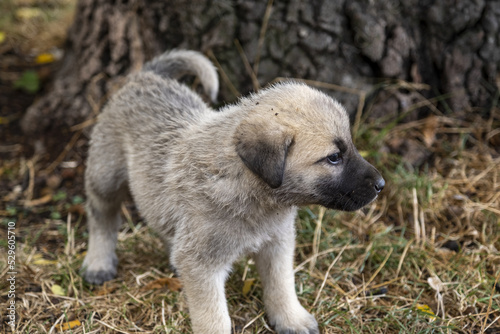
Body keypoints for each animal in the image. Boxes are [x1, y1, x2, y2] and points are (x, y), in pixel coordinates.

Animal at [82, 49, 384, 334]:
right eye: (333, 158)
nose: (381, 184)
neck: (247, 188)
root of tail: (147, 76)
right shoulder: (203, 265)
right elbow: (214, 317)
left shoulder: (278, 243)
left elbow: (281, 284)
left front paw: (291, 318)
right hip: (105, 175)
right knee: (101, 216)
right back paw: (98, 262)